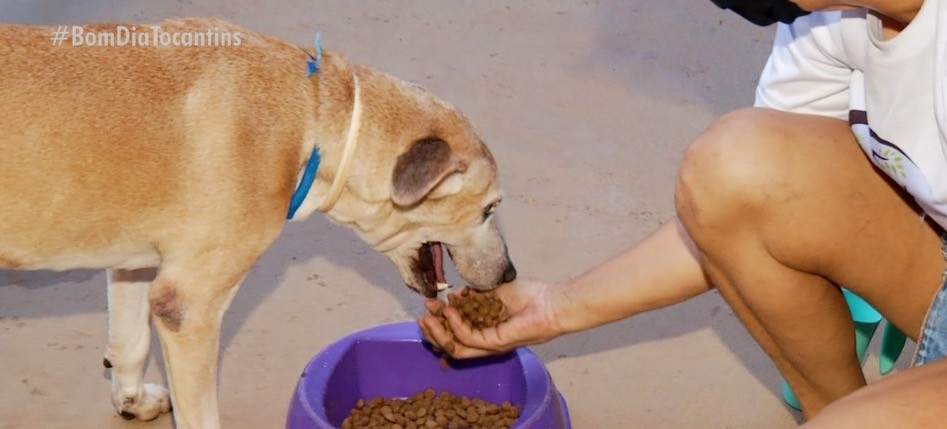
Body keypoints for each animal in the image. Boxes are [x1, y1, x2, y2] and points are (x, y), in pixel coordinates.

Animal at [0, 18, 516, 428]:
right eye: (490, 209)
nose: (509, 273)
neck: (312, 119)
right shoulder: (190, 306)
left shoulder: (136, 261)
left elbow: (129, 341)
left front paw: (132, 399)